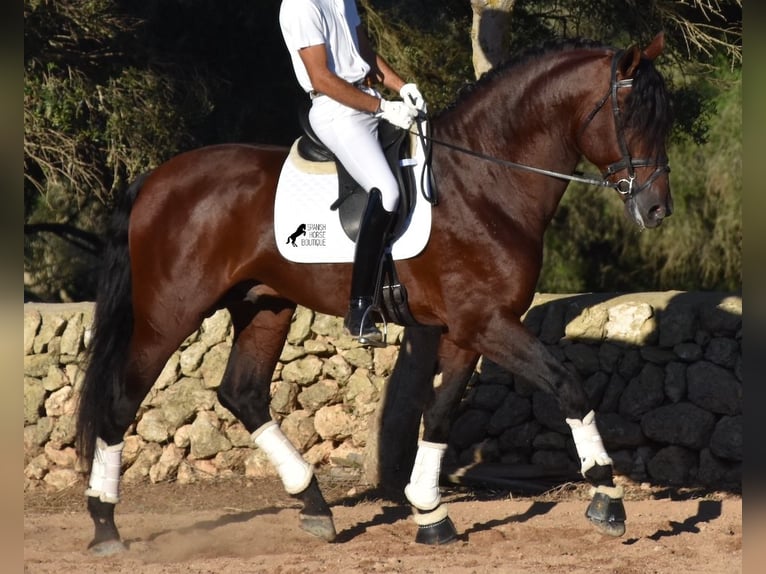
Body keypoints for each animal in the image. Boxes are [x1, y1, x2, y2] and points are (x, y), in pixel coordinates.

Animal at [73, 33, 672, 556]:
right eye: (631, 115)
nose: (657, 209)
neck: (485, 182)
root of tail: (155, 180)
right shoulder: (488, 322)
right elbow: (569, 386)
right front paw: (607, 498)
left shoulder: (469, 328)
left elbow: (440, 414)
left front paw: (430, 514)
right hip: (168, 315)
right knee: (122, 400)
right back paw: (104, 524)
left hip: (265, 304)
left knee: (242, 393)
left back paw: (315, 506)